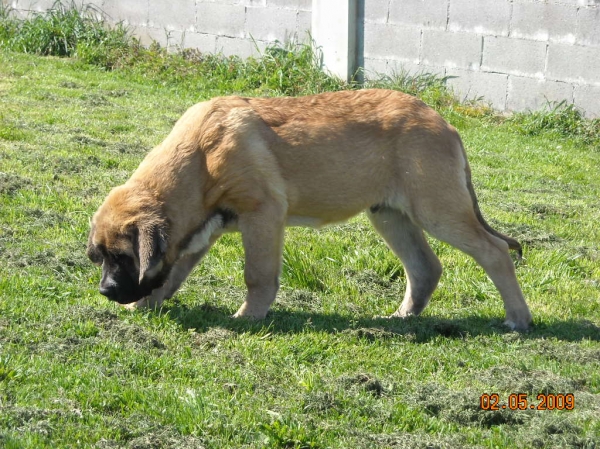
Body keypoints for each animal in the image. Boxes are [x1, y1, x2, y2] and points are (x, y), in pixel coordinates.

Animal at [86, 90, 532, 328]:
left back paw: (518, 319)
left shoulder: (262, 216)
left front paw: (247, 318)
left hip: (437, 210)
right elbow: (170, 274)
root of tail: (446, 125)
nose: (106, 291)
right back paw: (403, 316)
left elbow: (257, 276)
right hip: (390, 215)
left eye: (122, 256)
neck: (199, 160)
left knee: (493, 251)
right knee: (425, 266)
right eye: (100, 257)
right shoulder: (198, 231)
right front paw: (144, 306)